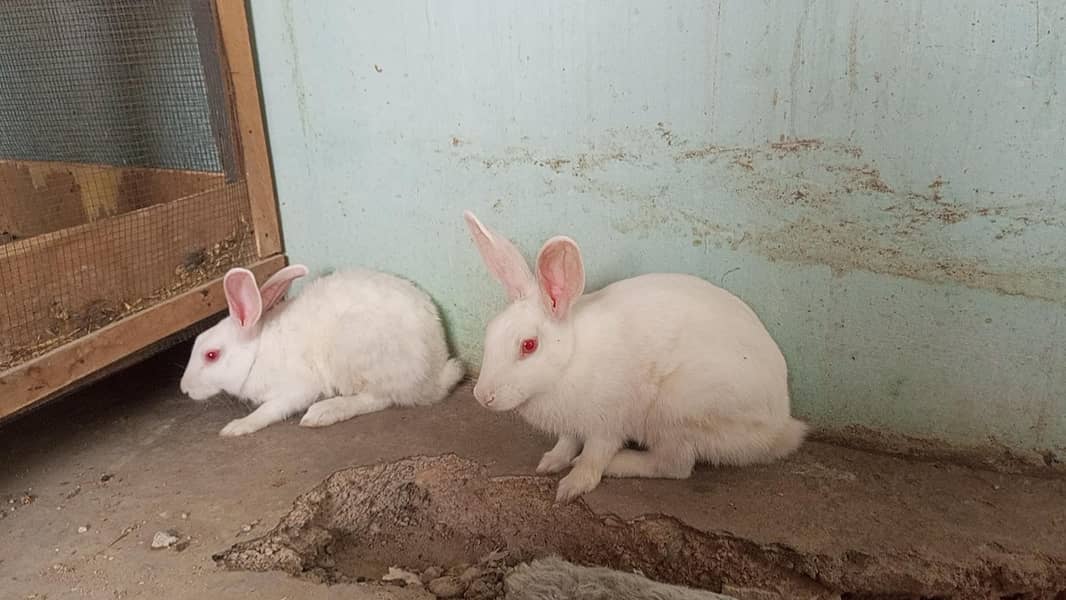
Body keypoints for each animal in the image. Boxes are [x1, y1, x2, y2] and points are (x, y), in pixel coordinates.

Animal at [179, 264, 465, 437]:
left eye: (211, 355)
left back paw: (324, 412)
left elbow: (270, 410)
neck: (256, 353)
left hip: (354, 354)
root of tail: (433, 377)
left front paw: (237, 427)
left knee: (379, 398)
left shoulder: (298, 388)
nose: (184, 389)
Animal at [463, 211, 807, 503]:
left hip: (674, 413)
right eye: (490, 331)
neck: (568, 363)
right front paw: (550, 462)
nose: (482, 396)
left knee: (675, 466)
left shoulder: (607, 423)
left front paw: (571, 487)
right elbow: (566, 442)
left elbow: (593, 456)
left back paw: (621, 463)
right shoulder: (572, 425)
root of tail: (778, 426)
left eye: (529, 345)